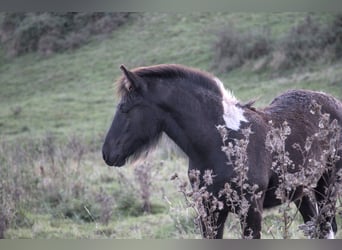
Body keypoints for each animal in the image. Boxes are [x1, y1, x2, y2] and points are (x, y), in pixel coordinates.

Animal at [102, 64, 342, 238]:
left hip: (328, 184)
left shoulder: (251, 211)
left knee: (326, 227)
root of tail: (333, 101)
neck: (220, 143)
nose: (107, 153)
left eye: (124, 109)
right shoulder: (209, 211)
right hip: (301, 191)